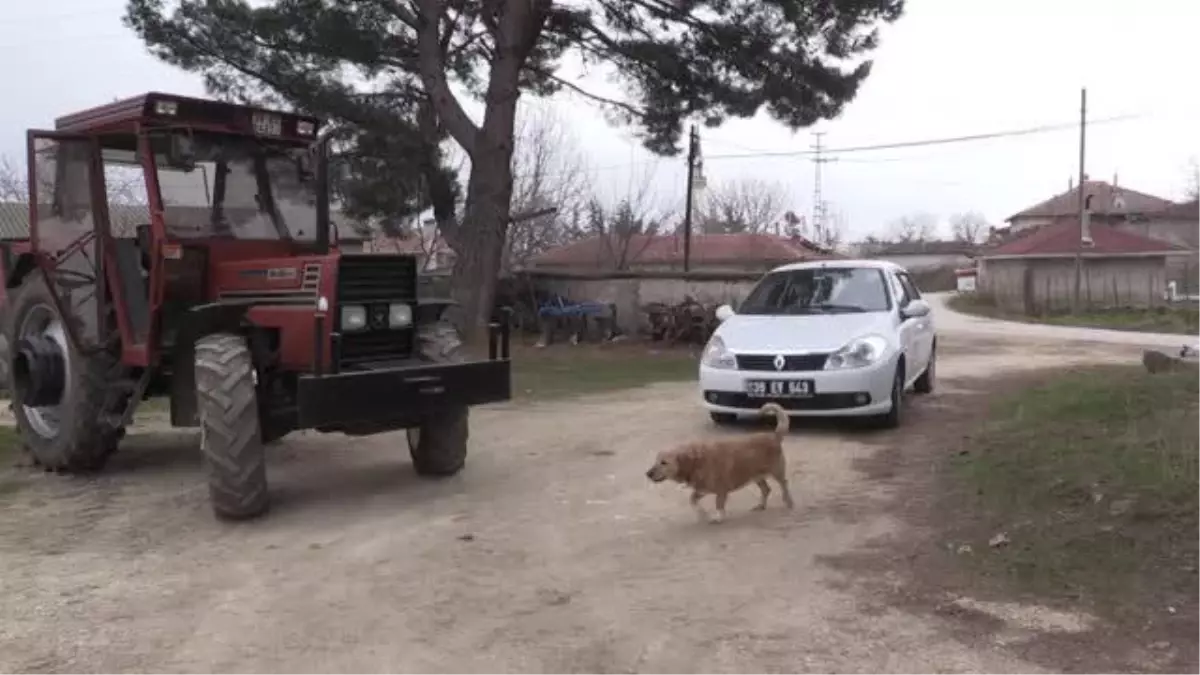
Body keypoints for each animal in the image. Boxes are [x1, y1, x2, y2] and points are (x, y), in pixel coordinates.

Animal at [648, 401, 796, 523]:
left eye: (664, 462)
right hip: (756, 476)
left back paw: (789, 502)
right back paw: (761, 505)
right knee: (766, 489)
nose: (647, 474)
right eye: (656, 460)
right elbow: (692, 500)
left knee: (784, 484)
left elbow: (718, 504)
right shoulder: (701, 489)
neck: (696, 461)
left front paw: (718, 517)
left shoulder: (721, 490)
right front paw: (702, 514)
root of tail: (774, 435)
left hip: (776, 472)